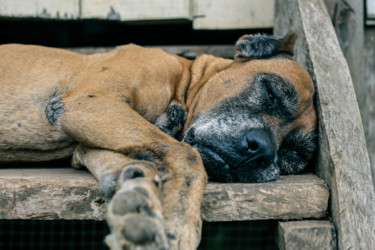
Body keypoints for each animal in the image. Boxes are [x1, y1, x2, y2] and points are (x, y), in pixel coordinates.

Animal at [0, 32, 318, 249]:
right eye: (270, 91)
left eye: (294, 155)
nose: (261, 150)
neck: (183, 85)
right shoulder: (88, 102)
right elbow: (188, 156)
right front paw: (182, 224)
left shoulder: (86, 133)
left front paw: (134, 191)